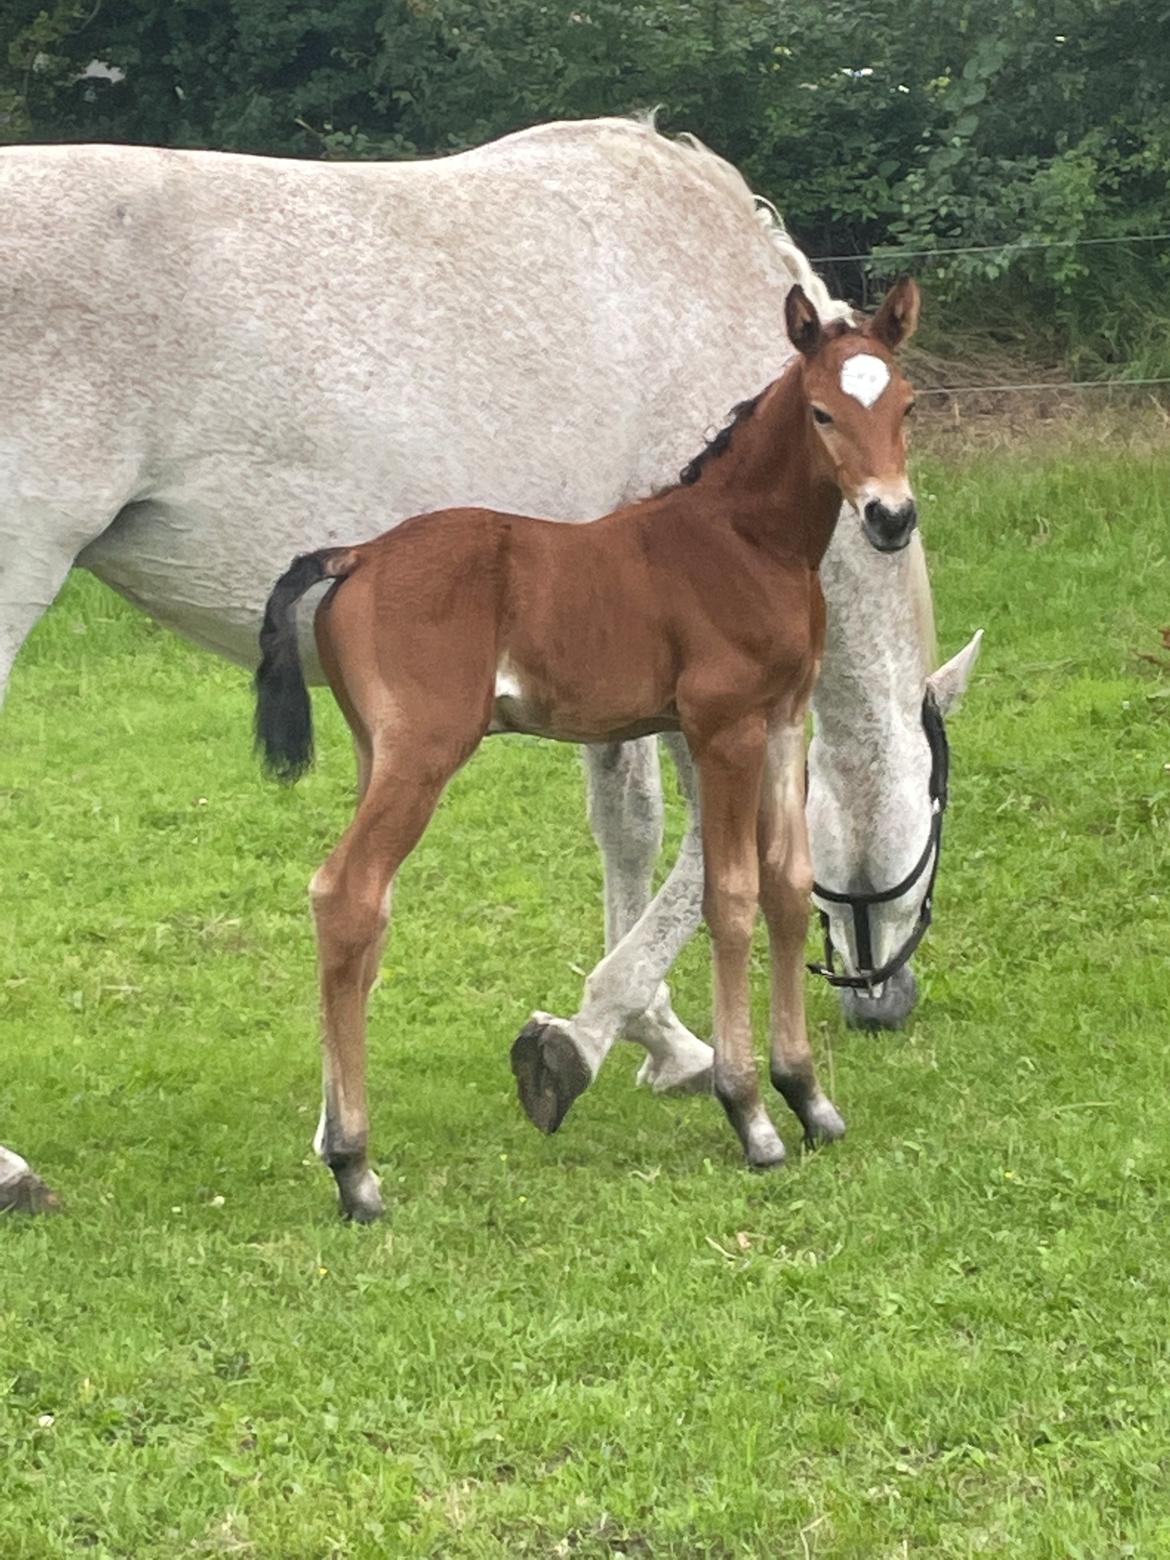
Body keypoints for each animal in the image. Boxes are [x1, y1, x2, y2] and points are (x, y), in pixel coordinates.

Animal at [255, 287, 923, 1223]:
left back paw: (338, 1144)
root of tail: (356, 556)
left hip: (374, 754)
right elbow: (731, 898)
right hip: (425, 752)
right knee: (344, 893)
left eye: (907, 406)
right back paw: (355, 1170)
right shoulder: (721, 729)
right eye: (823, 412)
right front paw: (751, 1115)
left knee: (364, 914)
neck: (744, 540)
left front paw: (810, 1097)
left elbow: (789, 891)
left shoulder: (785, 723)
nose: (890, 518)